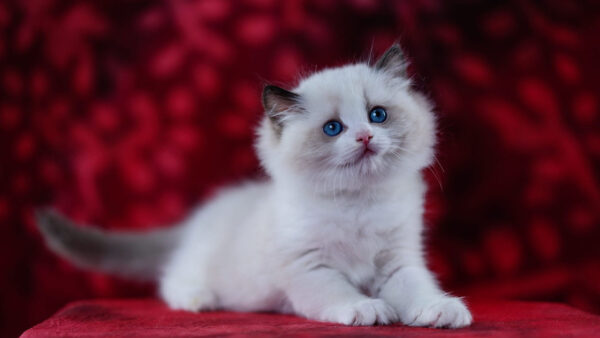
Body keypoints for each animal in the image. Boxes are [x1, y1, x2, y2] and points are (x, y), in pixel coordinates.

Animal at [37, 44, 474, 328]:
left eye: (377, 115)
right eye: (333, 128)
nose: (365, 137)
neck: (357, 202)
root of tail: (199, 218)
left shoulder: (399, 259)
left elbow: (417, 287)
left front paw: (440, 310)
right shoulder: (308, 266)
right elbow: (338, 291)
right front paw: (368, 309)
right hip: (199, 264)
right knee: (172, 280)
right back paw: (199, 301)